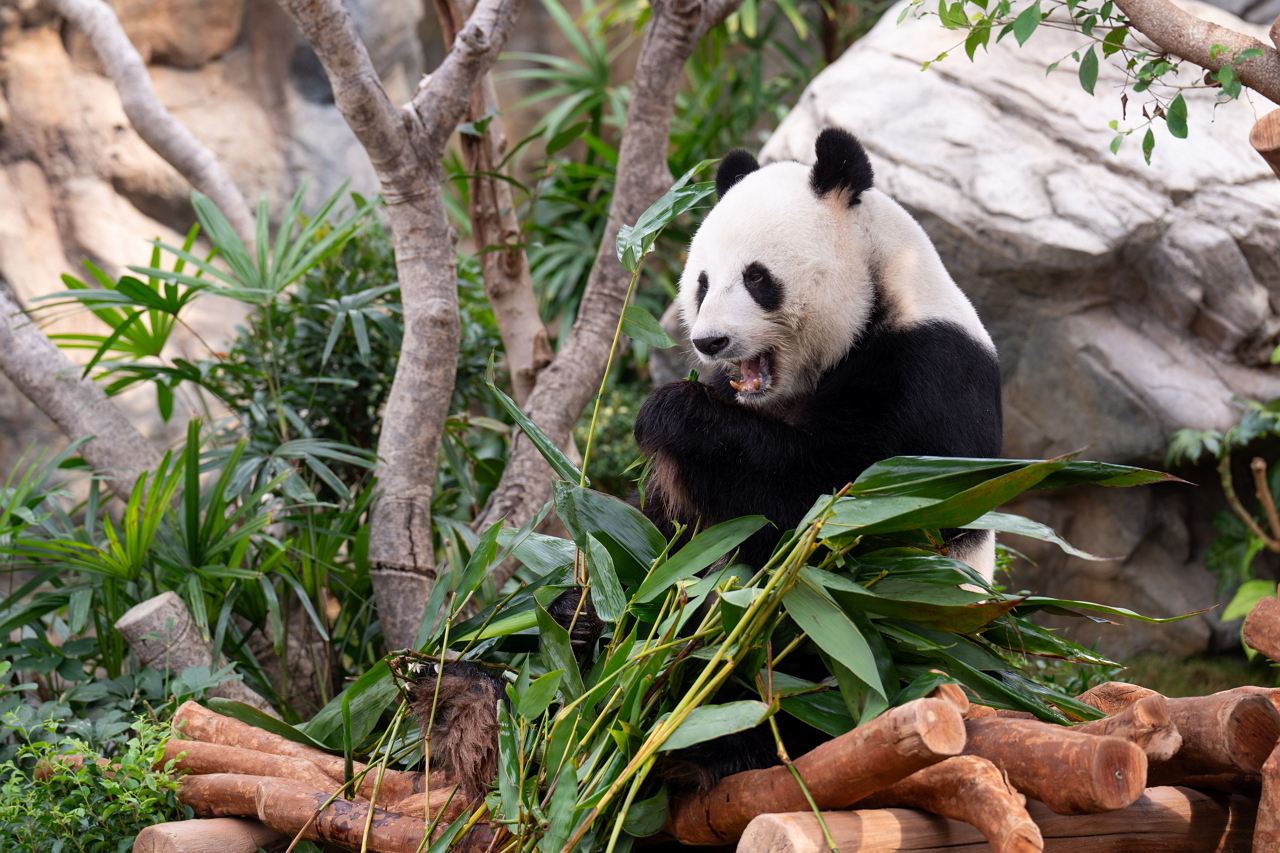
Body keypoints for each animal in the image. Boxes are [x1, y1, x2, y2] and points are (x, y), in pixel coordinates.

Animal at [634, 127, 1003, 580]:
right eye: (702, 284)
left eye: (756, 278)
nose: (710, 341)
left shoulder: (933, 373)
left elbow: (842, 507)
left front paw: (675, 414)